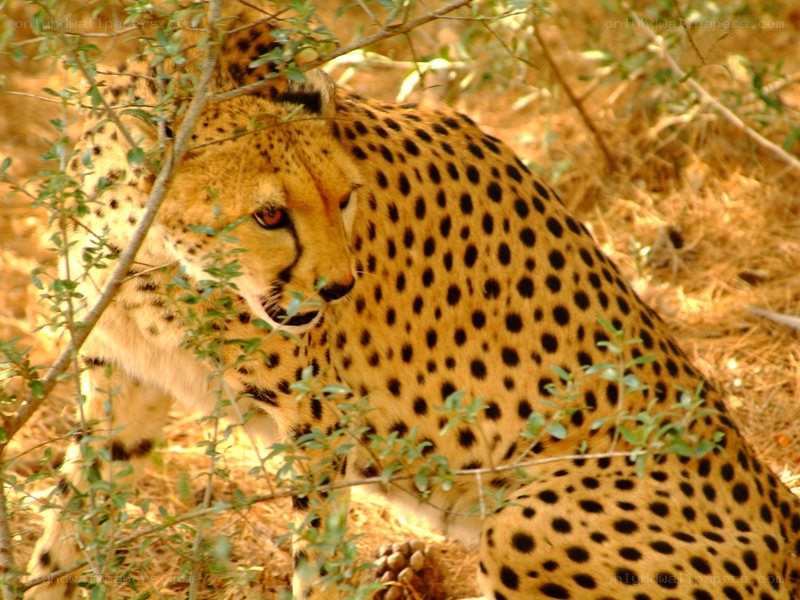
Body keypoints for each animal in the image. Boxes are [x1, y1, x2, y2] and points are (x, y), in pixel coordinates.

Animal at [26, 7, 800, 600]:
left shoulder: (320, 426)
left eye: (345, 197)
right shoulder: (124, 379)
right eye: (270, 216)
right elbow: (64, 528)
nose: (338, 288)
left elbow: (317, 564)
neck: (156, 253)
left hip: (528, 519)